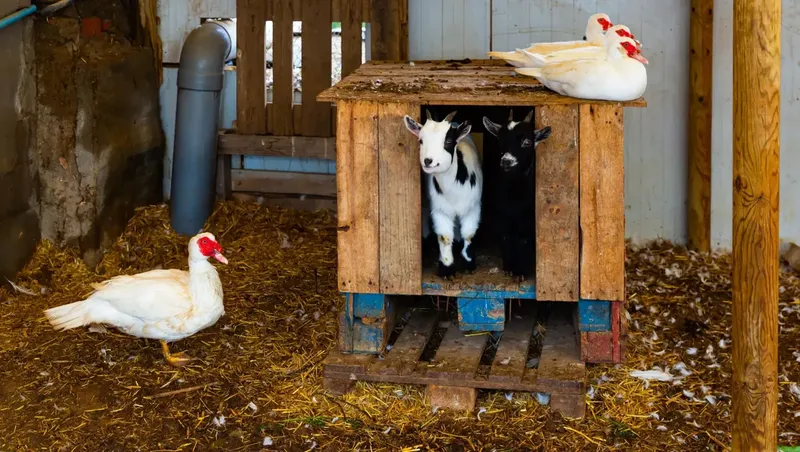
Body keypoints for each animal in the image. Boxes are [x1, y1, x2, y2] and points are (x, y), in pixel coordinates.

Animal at [404, 110, 484, 279]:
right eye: (421, 140)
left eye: (448, 142)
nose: (428, 161)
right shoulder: (440, 210)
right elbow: (445, 236)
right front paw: (446, 268)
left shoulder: (473, 208)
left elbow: (469, 234)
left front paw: (469, 263)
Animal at [482, 109, 551, 281]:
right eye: (500, 139)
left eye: (527, 142)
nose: (507, 161)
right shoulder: (500, 215)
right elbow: (505, 237)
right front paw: (509, 268)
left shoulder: (528, 218)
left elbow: (523, 239)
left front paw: (520, 272)